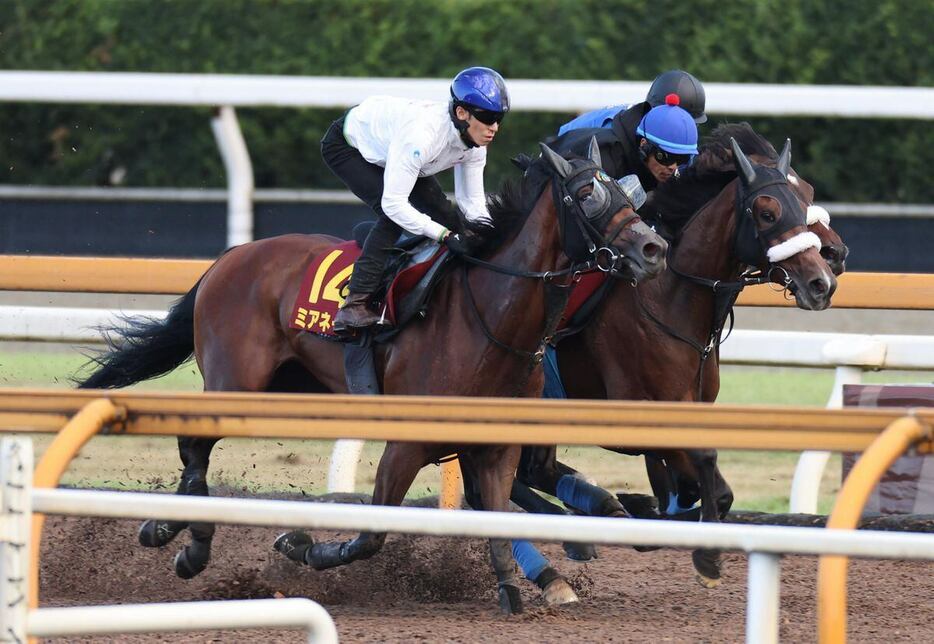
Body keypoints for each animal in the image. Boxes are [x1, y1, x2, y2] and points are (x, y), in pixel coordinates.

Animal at [77, 141, 668, 612]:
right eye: (588, 194)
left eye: (629, 195)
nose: (653, 249)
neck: (489, 315)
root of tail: (230, 257)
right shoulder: (406, 444)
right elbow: (373, 534)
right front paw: (300, 546)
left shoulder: (496, 444)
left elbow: (498, 516)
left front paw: (522, 587)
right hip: (236, 383)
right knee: (195, 444)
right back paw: (189, 545)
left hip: (290, 382)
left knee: (193, 450)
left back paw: (166, 528)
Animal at [512, 122, 840, 588]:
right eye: (767, 212)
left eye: (806, 195)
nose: (822, 281)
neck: (671, 298)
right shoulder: (637, 414)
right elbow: (701, 472)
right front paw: (704, 552)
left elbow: (710, 489)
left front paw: (654, 512)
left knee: (529, 471)